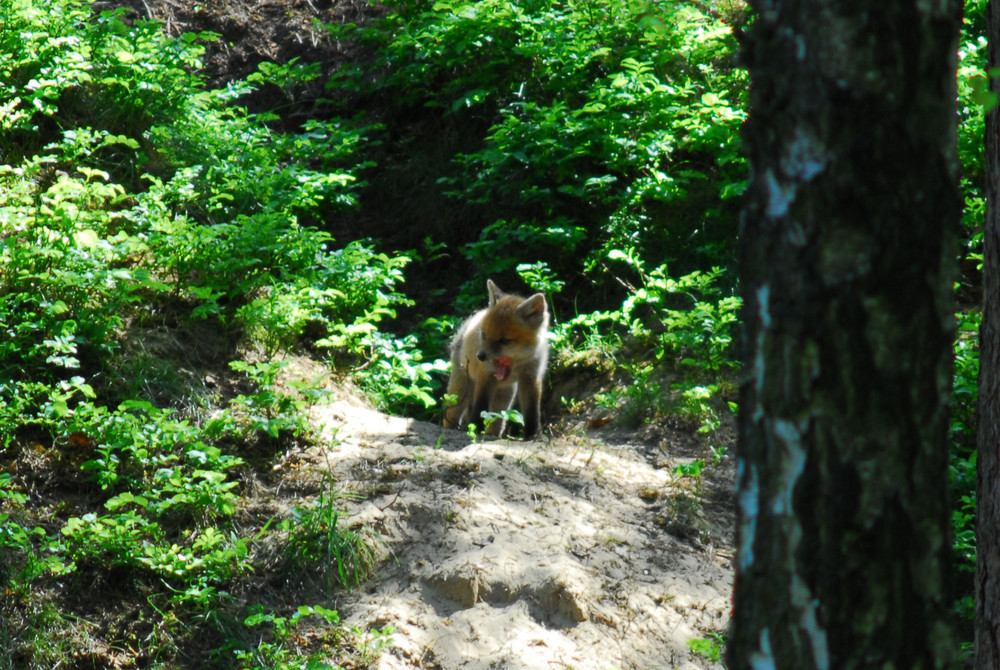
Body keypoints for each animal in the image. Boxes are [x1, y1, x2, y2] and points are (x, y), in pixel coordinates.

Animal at [446, 280, 552, 440]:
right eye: (484, 334)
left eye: (505, 340)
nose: (480, 356)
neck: (515, 364)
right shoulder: (485, 377)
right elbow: (480, 407)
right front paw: (475, 429)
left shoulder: (531, 379)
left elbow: (532, 412)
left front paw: (533, 435)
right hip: (459, 394)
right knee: (452, 415)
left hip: (504, 396)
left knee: (497, 420)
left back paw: (493, 435)